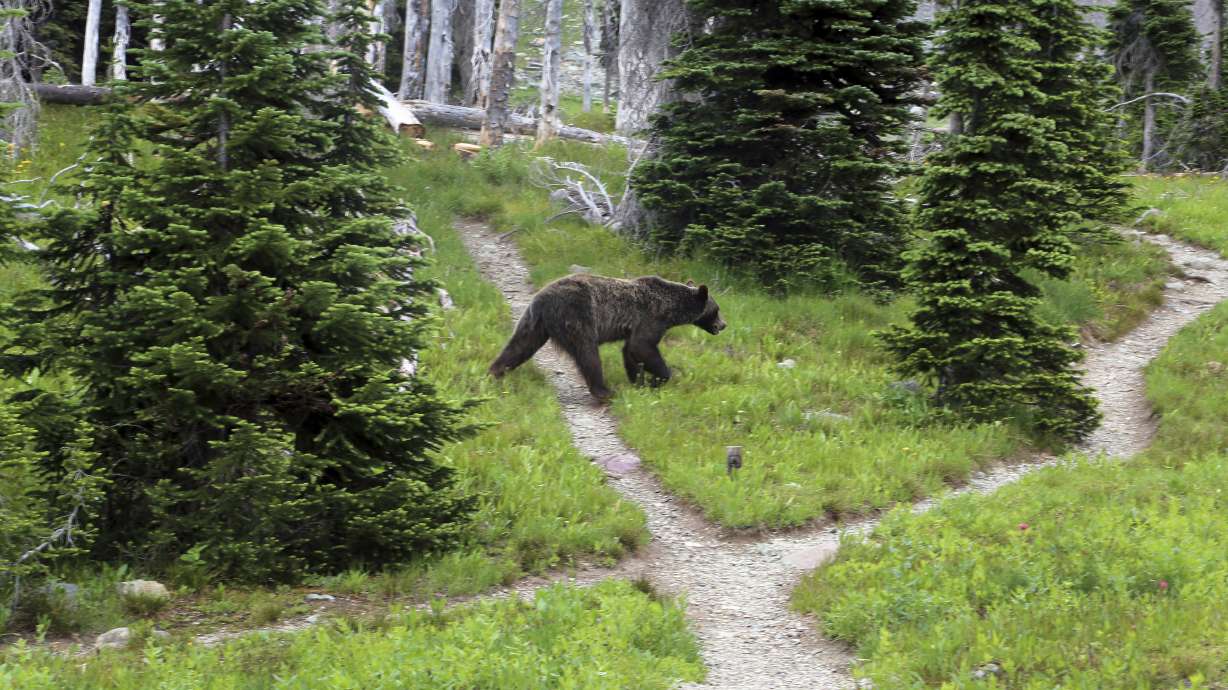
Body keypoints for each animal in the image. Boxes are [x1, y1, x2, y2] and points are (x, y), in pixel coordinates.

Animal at [489, 274, 726, 401]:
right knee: (588, 354)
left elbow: (630, 351)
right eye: (717, 310)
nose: (724, 325)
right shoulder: (651, 317)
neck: (672, 309)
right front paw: (659, 378)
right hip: (577, 316)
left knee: (519, 346)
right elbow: (643, 346)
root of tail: (541, 298)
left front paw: (638, 382)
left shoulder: (636, 326)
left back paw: (495, 372)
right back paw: (604, 391)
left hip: (534, 323)